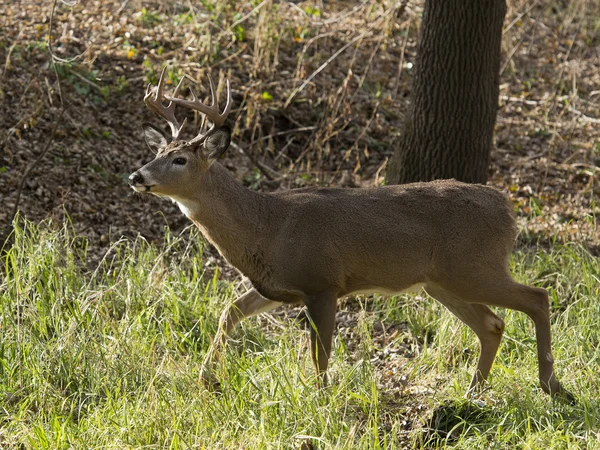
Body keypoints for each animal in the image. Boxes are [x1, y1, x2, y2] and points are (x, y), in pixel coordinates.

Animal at [129, 67, 576, 404]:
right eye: (156, 153)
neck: (267, 227)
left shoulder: (323, 282)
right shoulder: (277, 286)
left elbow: (320, 353)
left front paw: (320, 399)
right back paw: (472, 392)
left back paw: (551, 386)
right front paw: (207, 378)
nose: (136, 176)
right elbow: (229, 311)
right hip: (442, 282)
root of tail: (508, 209)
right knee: (492, 324)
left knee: (537, 297)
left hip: (473, 266)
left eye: (179, 159)